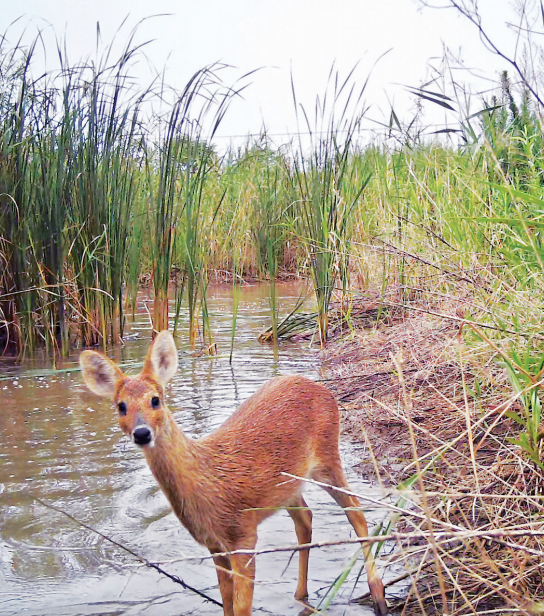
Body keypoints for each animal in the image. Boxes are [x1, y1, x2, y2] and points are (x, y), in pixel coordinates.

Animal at [79, 332, 386, 616]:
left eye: (155, 400)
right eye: (120, 406)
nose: (142, 433)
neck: (207, 482)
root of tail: (322, 389)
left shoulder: (244, 534)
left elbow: (241, 607)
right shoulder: (213, 545)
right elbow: (226, 602)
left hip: (327, 457)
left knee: (356, 512)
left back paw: (378, 596)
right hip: (290, 485)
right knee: (305, 519)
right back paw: (301, 596)